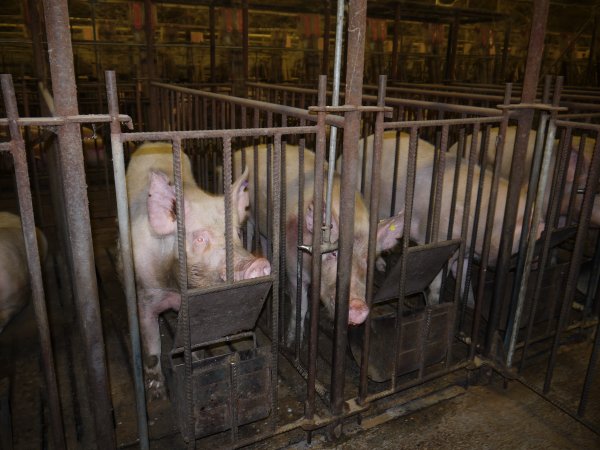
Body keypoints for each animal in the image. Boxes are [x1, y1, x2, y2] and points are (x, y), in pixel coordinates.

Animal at [124, 142, 270, 400]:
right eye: (200, 238)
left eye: (237, 233)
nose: (258, 263)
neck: (175, 288)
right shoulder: (145, 295)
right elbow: (151, 347)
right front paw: (157, 393)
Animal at [233, 142, 404, 342]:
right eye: (333, 253)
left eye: (367, 259)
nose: (358, 307)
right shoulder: (294, 265)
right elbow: (300, 305)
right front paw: (292, 340)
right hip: (248, 215)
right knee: (250, 234)